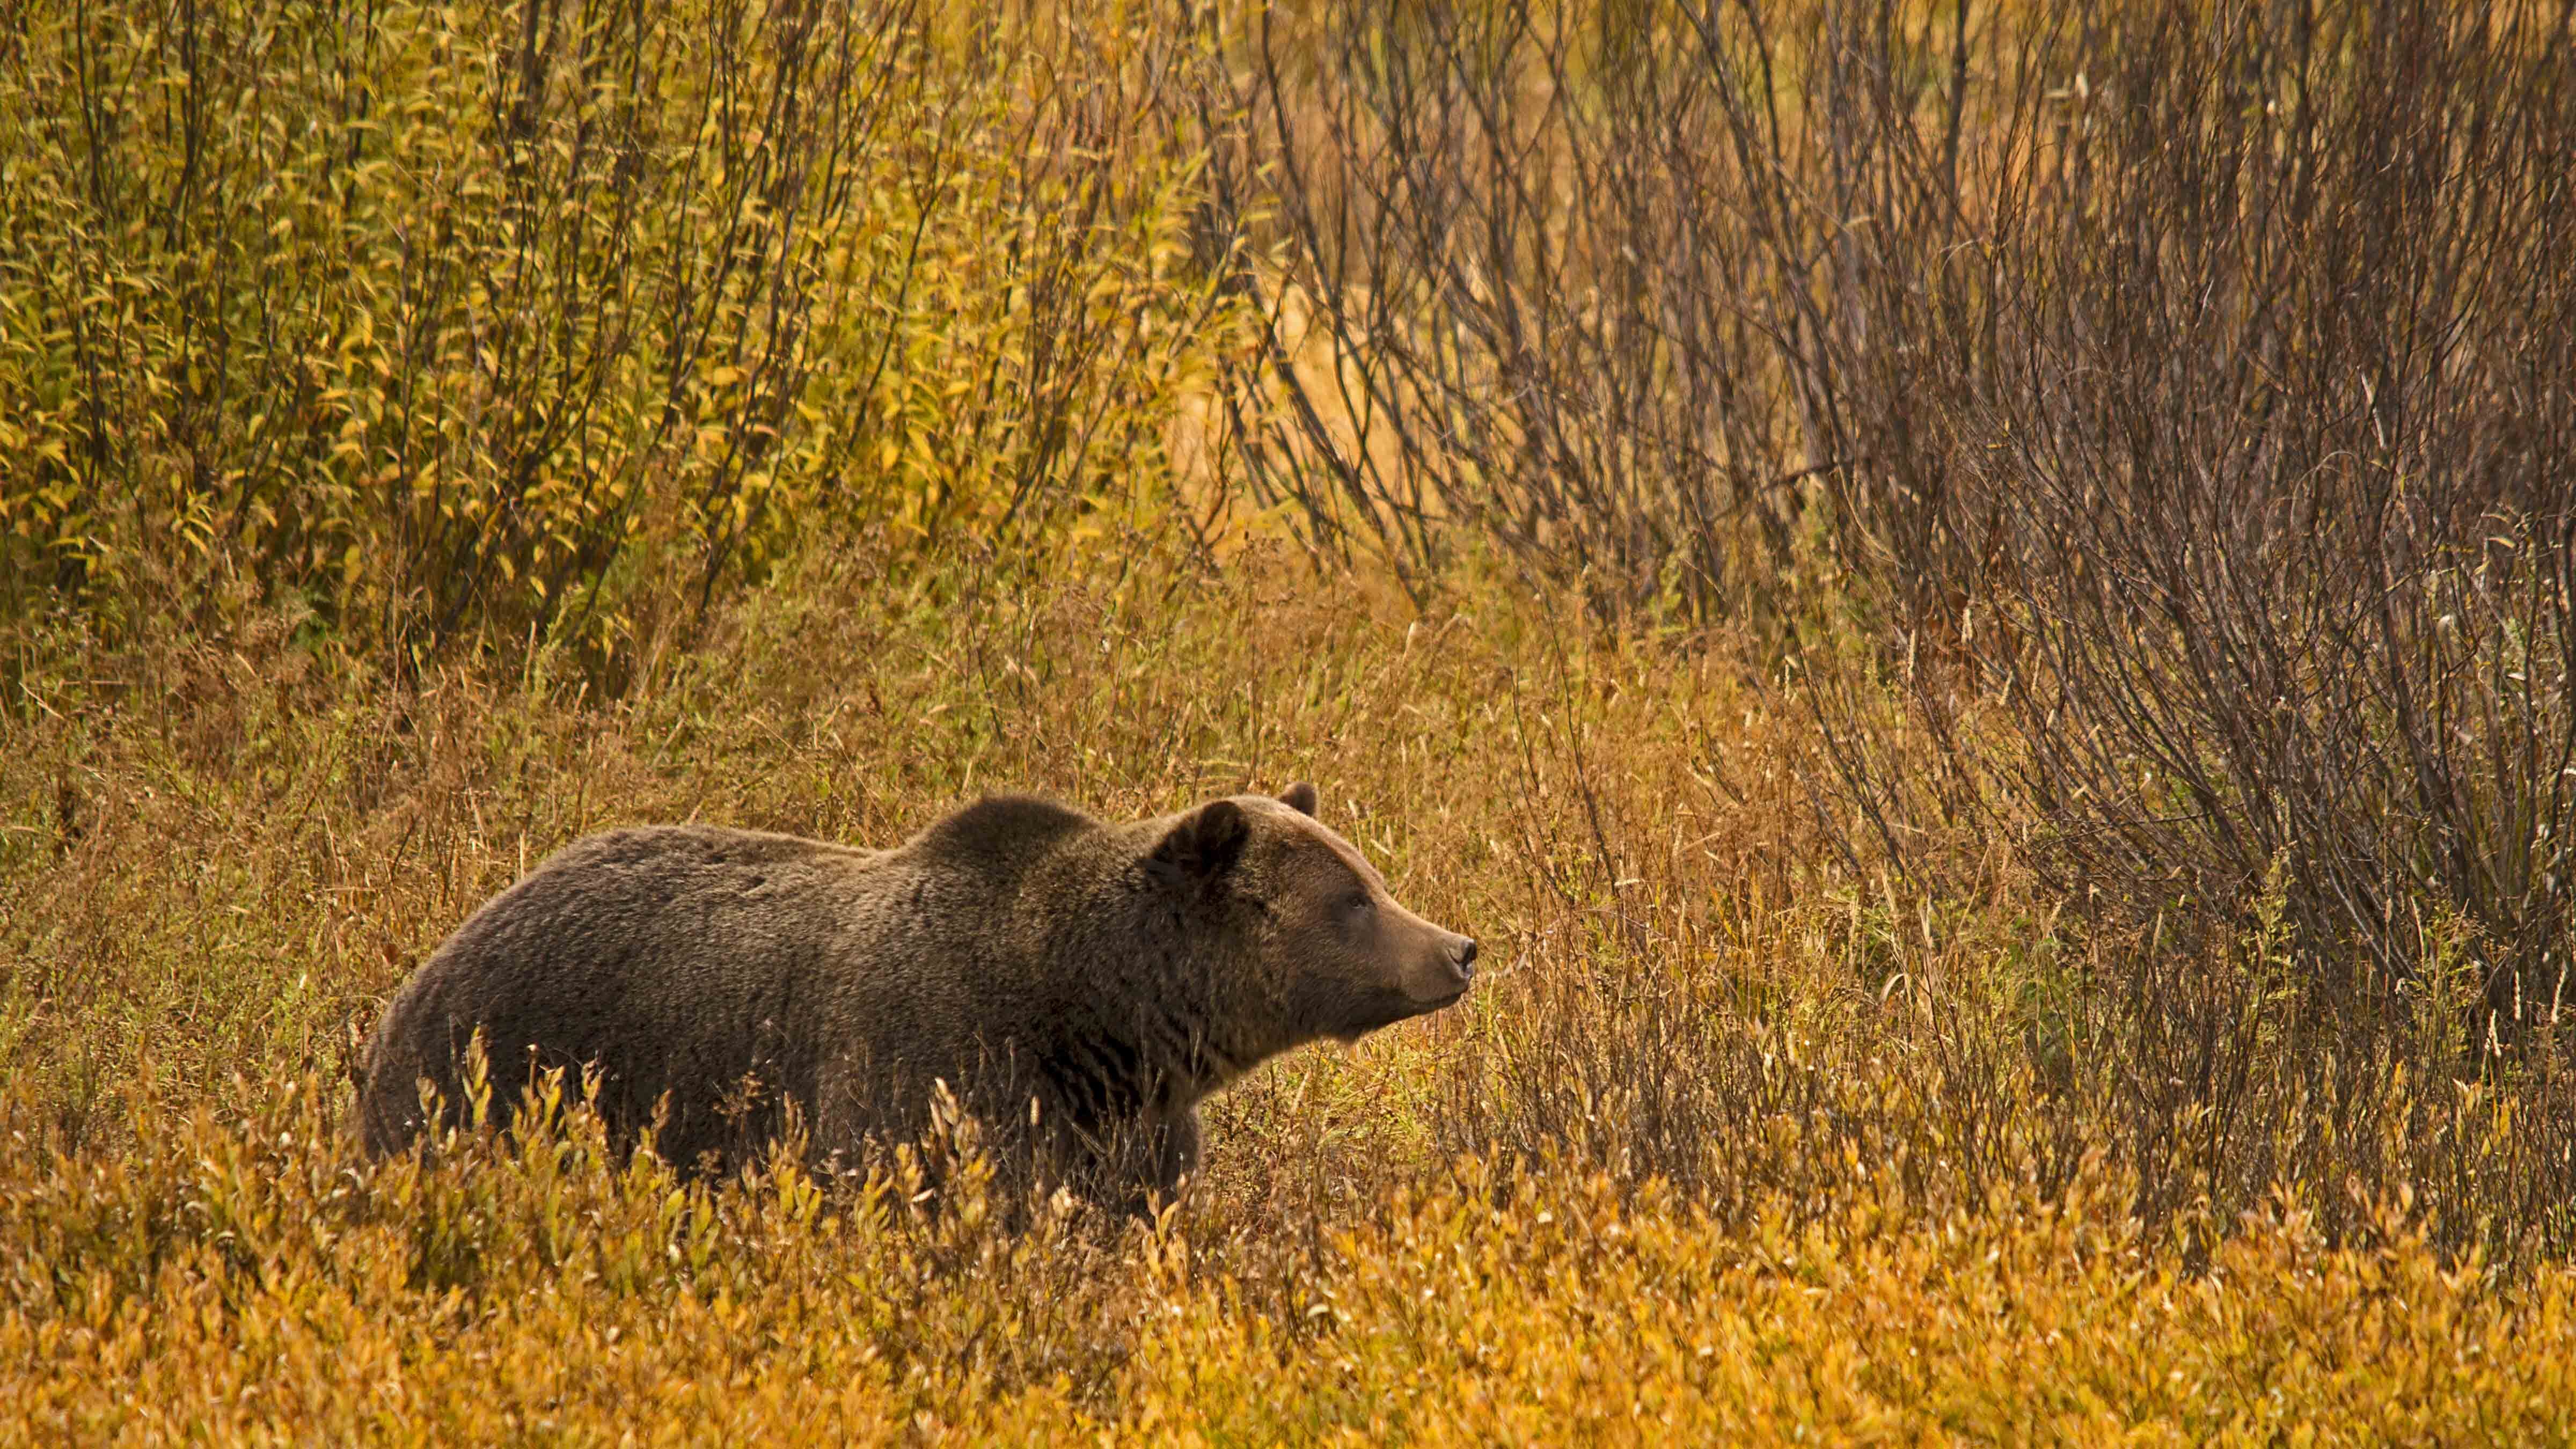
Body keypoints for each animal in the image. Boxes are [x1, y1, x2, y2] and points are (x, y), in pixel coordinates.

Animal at [355, 783, 1477, 1210]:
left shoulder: (1134, 1137)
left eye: (1371, 876)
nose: (1459, 948)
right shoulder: (934, 1072)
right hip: (490, 1076)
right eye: (1353, 899)